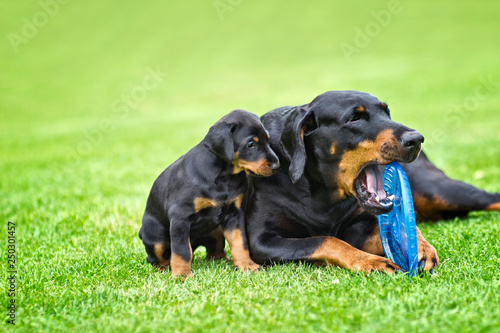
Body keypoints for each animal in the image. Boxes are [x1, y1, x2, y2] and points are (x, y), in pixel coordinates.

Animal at [140, 108, 282, 274]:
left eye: (267, 139)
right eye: (250, 144)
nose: (276, 166)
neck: (224, 176)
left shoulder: (234, 214)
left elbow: (240, 242)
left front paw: (247, 265)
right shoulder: (180, 217)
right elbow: (182, 251)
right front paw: (182, 275)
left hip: (217, 230)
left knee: (214, 253)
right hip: (156, 237)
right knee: (156, 258)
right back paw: (164, 269)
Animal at [246, 90, 500, 272]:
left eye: (387, 113)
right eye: (354, 118)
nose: (416, 139)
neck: (320, 193)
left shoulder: (362, 223)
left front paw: (421, 247)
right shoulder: (262, 242)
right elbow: (325, 240)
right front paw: (373, 262)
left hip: (439, 190)